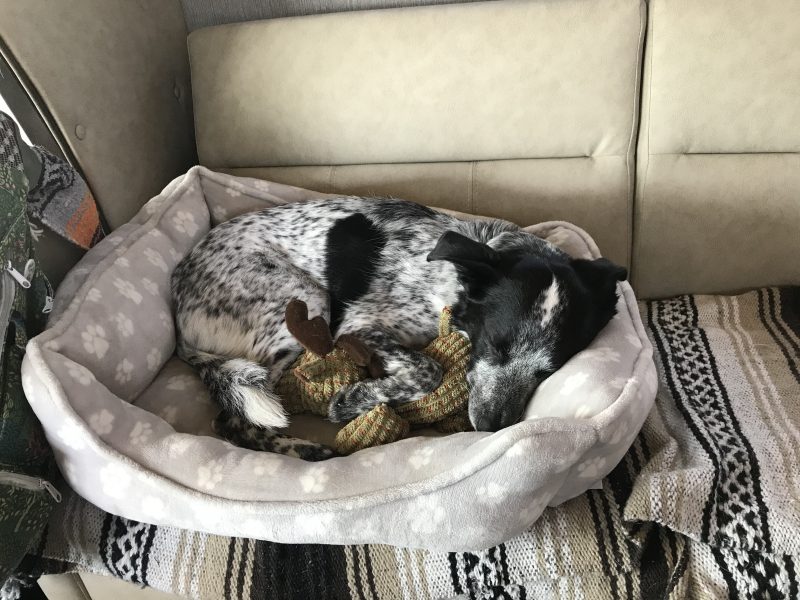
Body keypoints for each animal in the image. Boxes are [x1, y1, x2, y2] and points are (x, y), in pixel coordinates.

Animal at [170, 199, 624, 434]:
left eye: (548, 372)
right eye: (495, 347)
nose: (491, 426)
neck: (452, 283)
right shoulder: (357, 325)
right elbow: (429, 370)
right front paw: (352, 400)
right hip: (307, 299)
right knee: (245, 411)